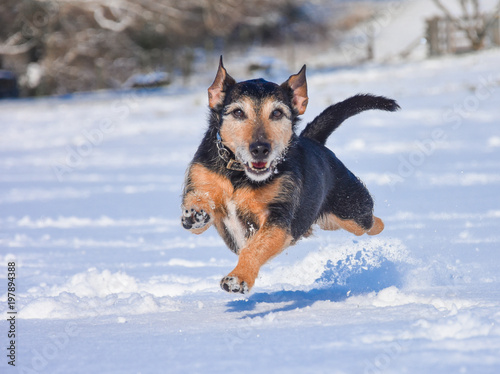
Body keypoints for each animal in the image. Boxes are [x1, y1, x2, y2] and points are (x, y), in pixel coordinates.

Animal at [180, 57, 398, 294]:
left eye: (277, 113)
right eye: (238, 112)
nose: (260, 149)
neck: (237, 173)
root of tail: (314, 141)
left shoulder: (278, 220)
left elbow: (254, 248)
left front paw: (238, 278)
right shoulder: (203, 182)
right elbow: (199, 206)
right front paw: (195, 213)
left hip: (352, 211)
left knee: (371, 222)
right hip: (328, 221)